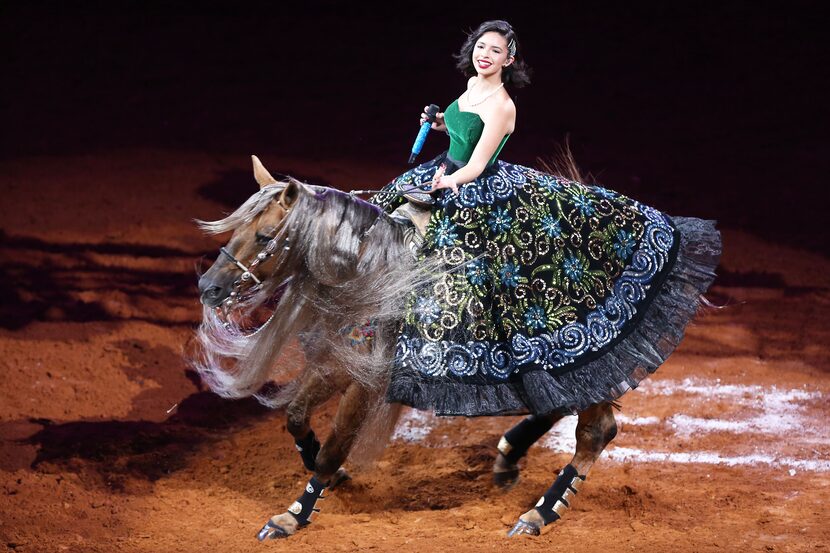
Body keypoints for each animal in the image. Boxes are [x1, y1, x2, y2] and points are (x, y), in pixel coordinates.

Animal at [193, 156, 624, 540]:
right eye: (236, 230)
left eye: (266, 236)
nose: (208, 287)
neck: (373, 273)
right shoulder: (342, 363)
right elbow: (296, 416)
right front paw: (328, 472)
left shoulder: (368, 383)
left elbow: (336, 447)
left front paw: (292, 516)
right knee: (558, 401)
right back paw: (509, 457)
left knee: (595, 432)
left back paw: (538, 513)